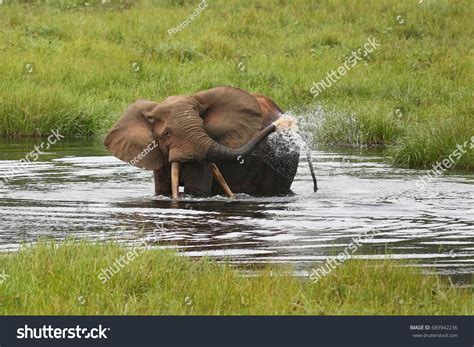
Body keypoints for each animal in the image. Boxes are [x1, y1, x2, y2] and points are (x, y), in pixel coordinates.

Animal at [104, 85, 318, 197]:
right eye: (166, 134)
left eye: (203, 126)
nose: (282, 124)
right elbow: (162, 189)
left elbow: (196, 189)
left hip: (283, 157)